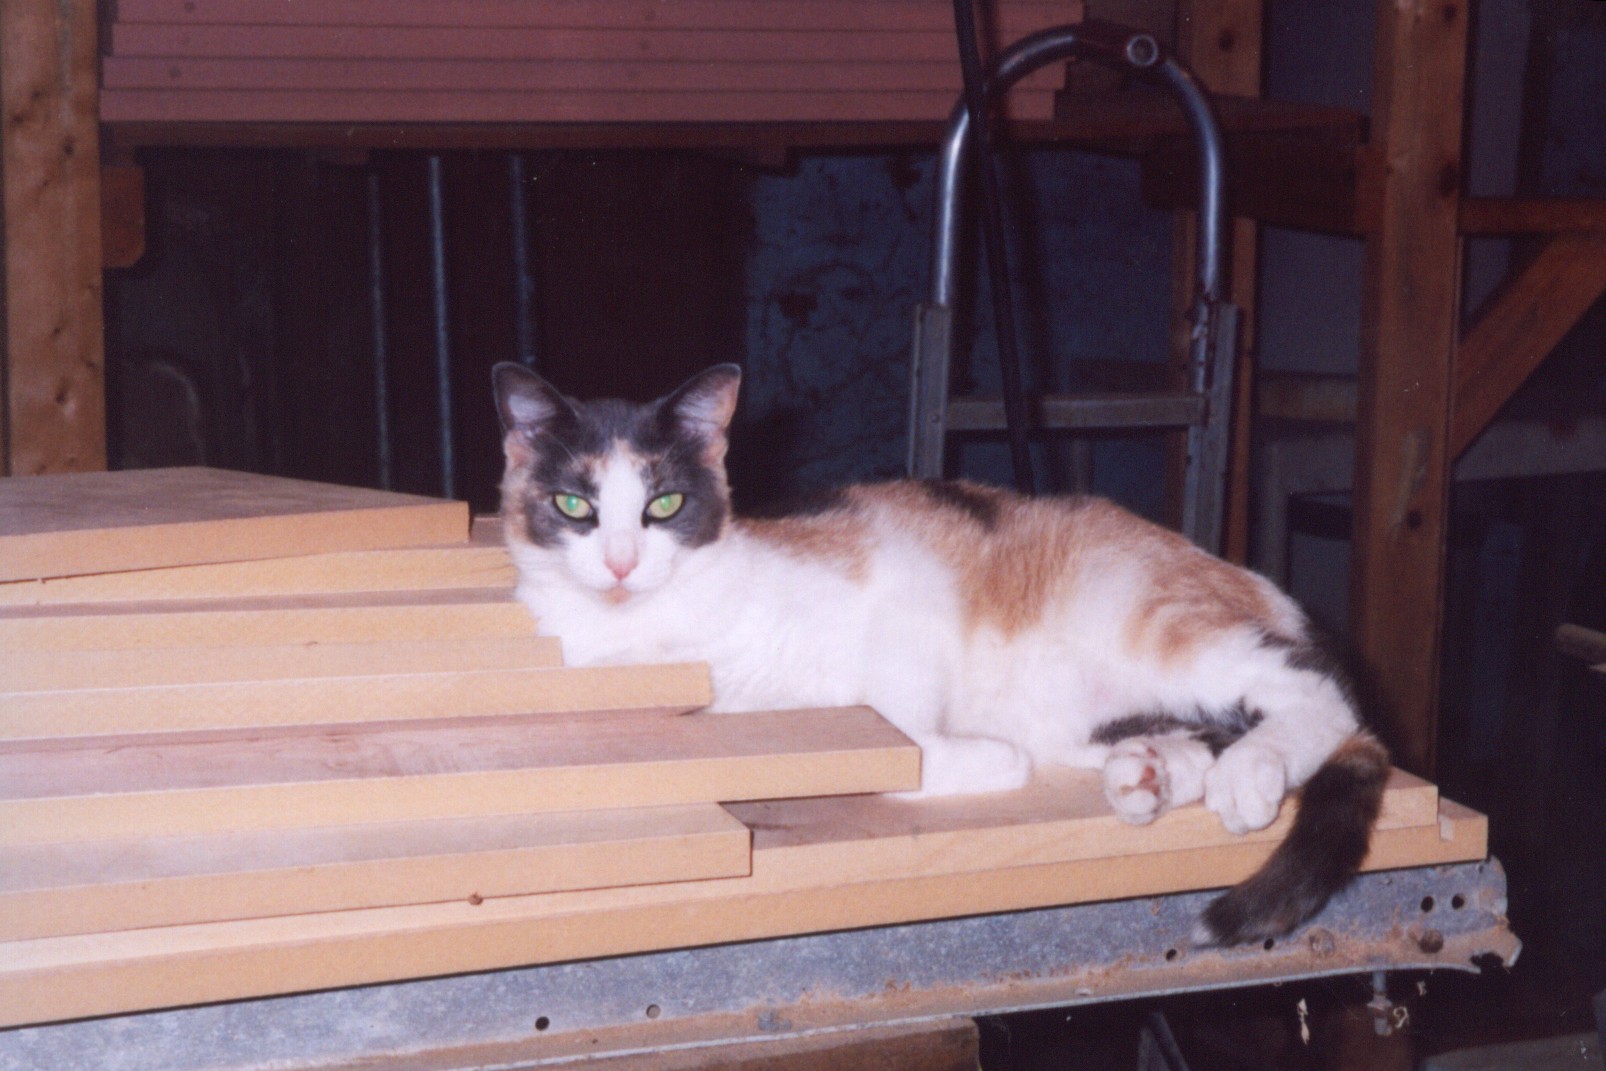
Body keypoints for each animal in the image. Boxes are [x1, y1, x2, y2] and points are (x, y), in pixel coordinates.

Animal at [491, 362, 1394, 944]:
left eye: (665, 503)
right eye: (573, 504)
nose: (619, 563)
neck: (660, 627)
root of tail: (1249, 579)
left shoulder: (898, 600)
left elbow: (900, 730)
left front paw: (972, 757)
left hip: (1155, 621)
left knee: (1322, 695)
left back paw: (1250, 770)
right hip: (1085, 710)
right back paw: (1151, 773)